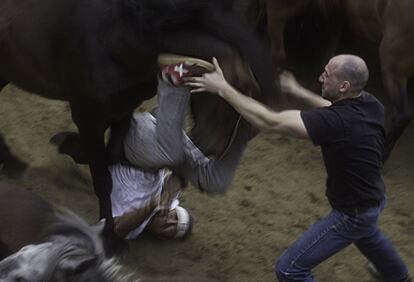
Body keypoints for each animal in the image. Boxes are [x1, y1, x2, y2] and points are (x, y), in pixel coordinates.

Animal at [0, 0, 278, 251]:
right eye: (237, 96)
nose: (211, 147)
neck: (121, 37)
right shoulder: (88, 115)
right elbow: (103, 177)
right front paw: (109, 238)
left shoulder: (124, 108)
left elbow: (111, 155)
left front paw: (72, 147)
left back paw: (14, 163)